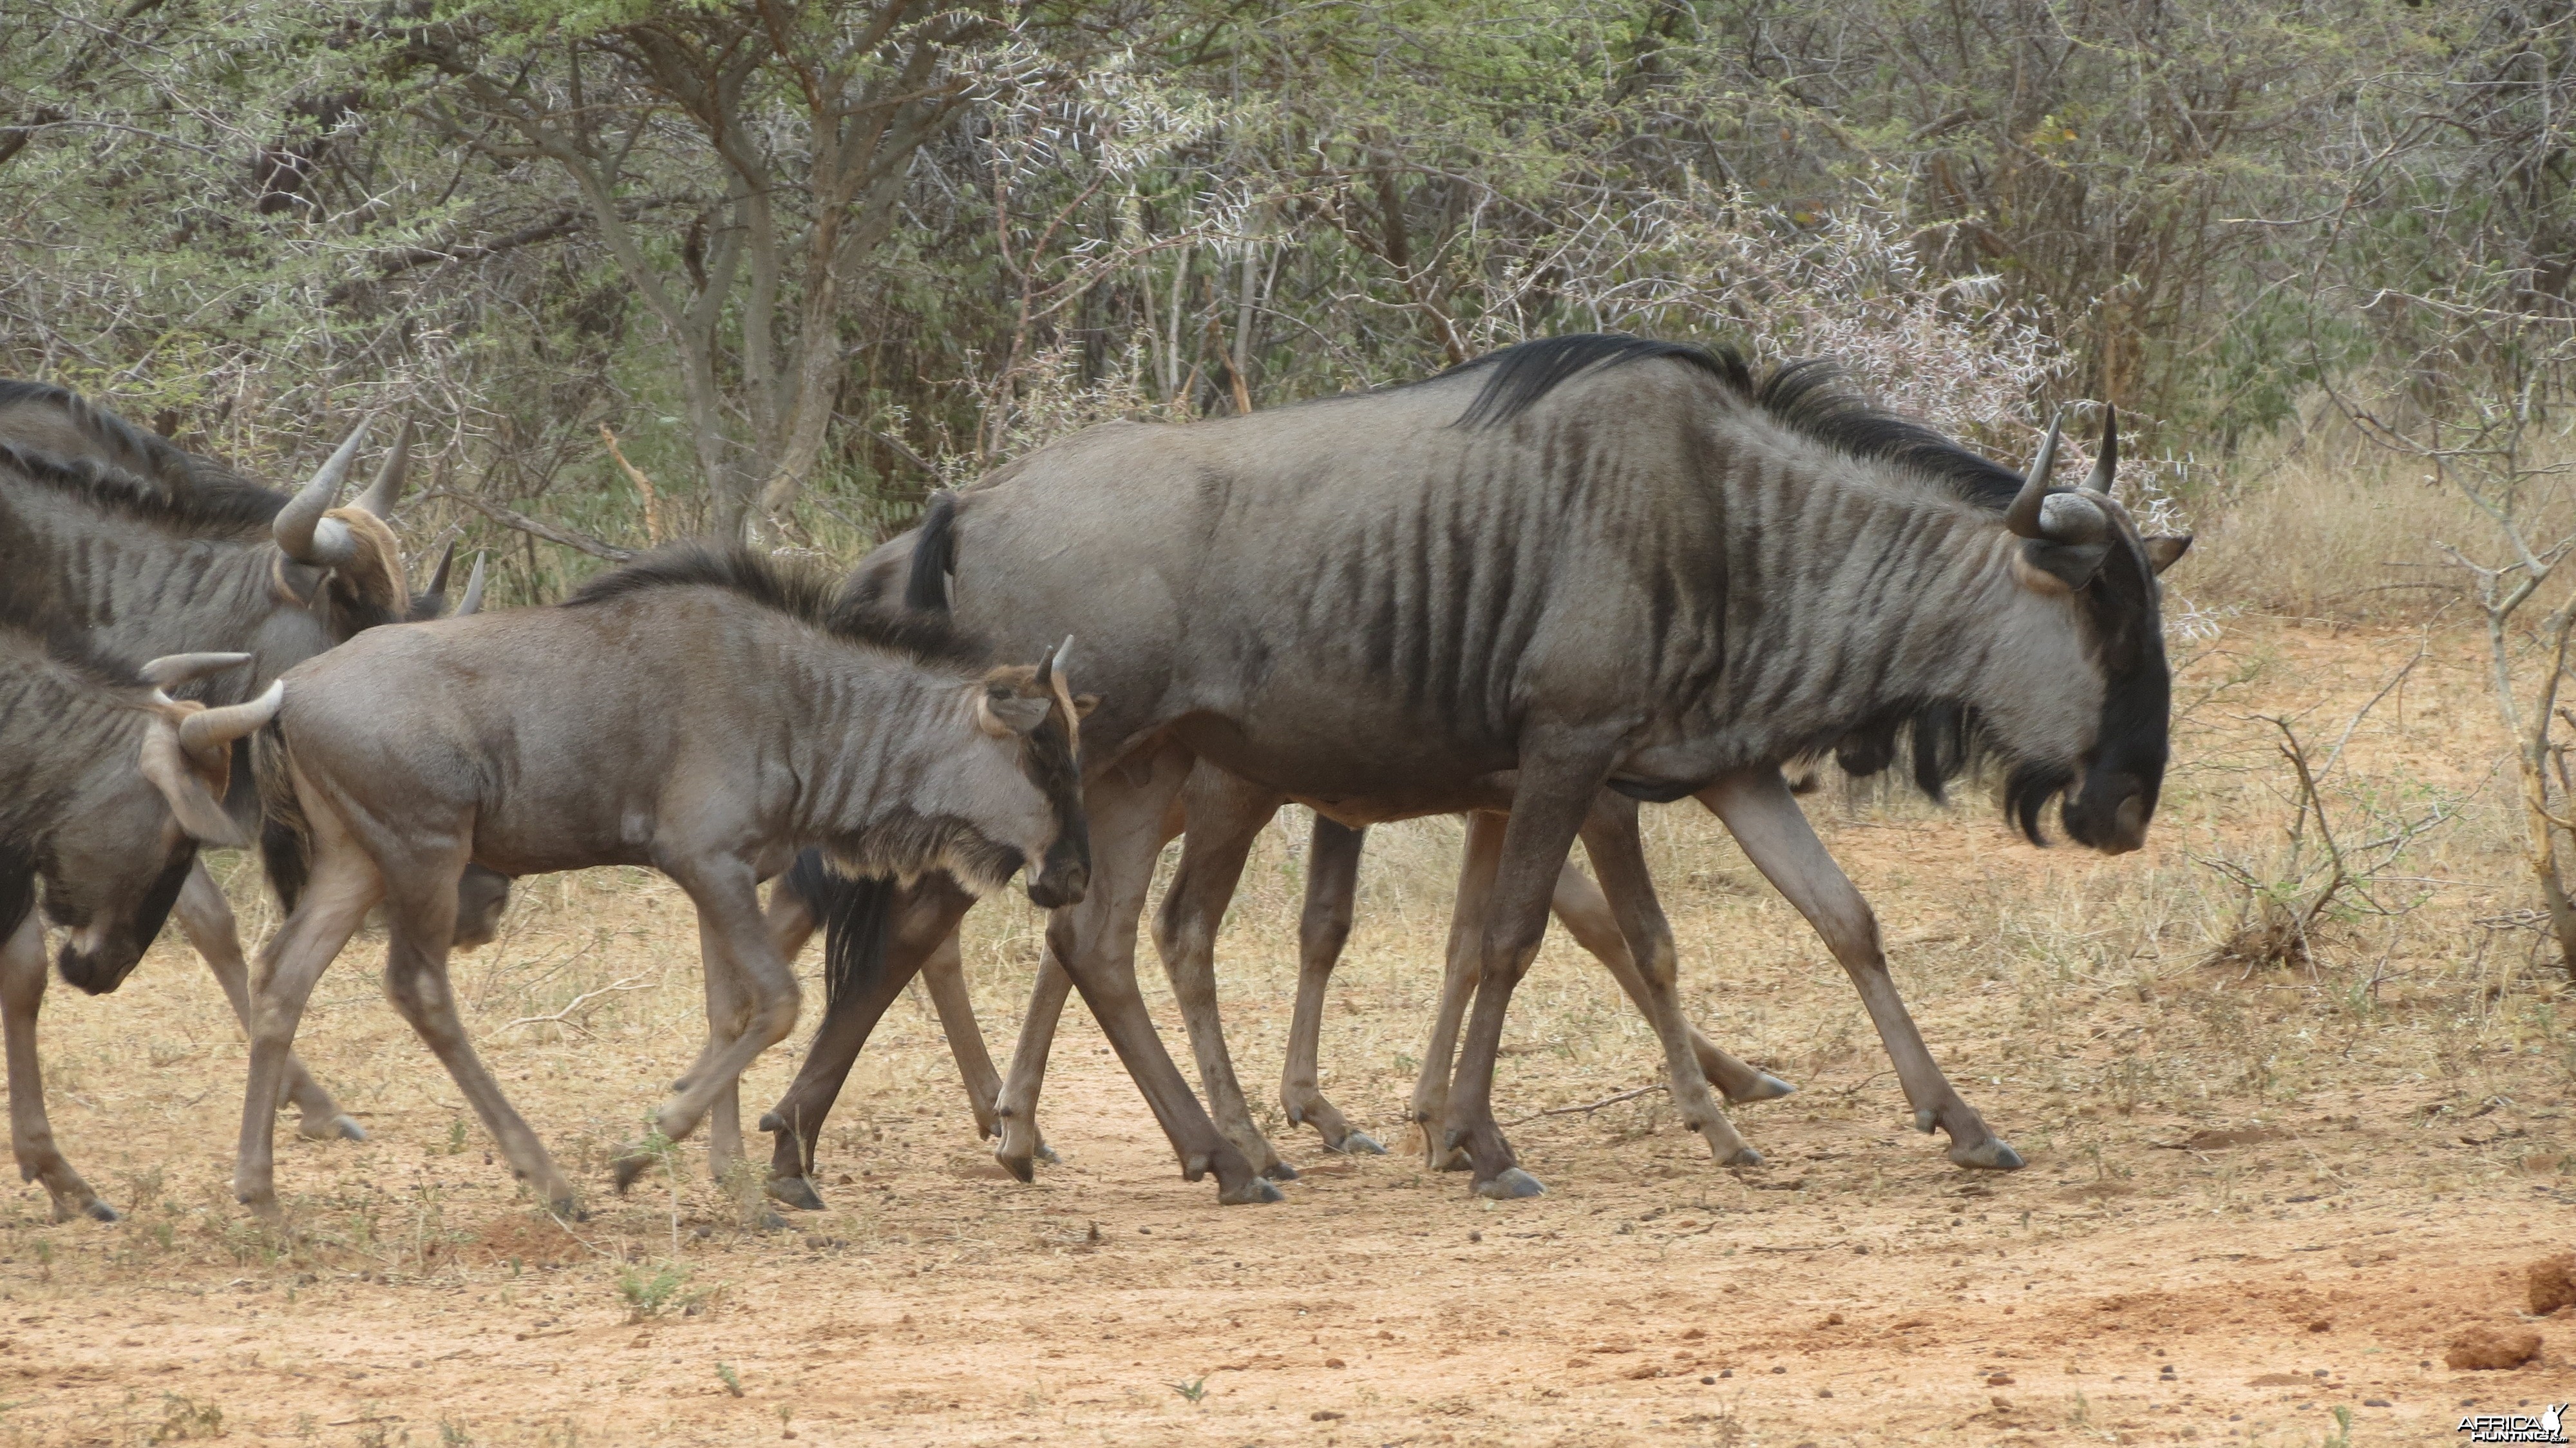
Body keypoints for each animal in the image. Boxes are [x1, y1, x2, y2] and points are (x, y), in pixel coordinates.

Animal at [232, 546, 1087, 1211]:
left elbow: (729, 1013)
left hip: (355, 863)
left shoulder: (728, 875)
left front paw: (733, 1179)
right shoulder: (704, 862)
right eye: (1043, 757)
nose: (1076, 876)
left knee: (281, 976)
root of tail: (290, 692)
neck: (800, 700)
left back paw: (260, 1191)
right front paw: (643, 1153)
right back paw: (551, 1183)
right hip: (424, 854)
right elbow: (779, 1002)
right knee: (420, 989)